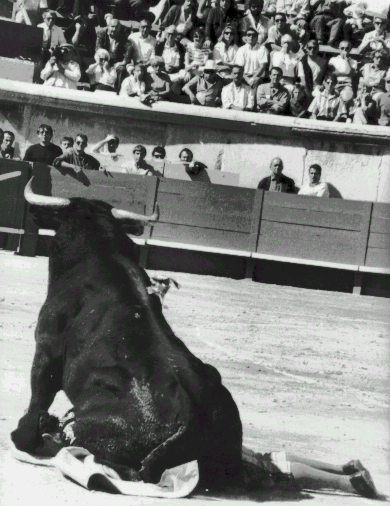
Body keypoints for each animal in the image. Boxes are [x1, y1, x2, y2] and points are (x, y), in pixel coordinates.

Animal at [10, 185, 242, 486]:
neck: (101, 251)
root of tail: (189, 418)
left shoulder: (46, 348)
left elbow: (38, 396)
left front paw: (24, 435)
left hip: (87, 425)